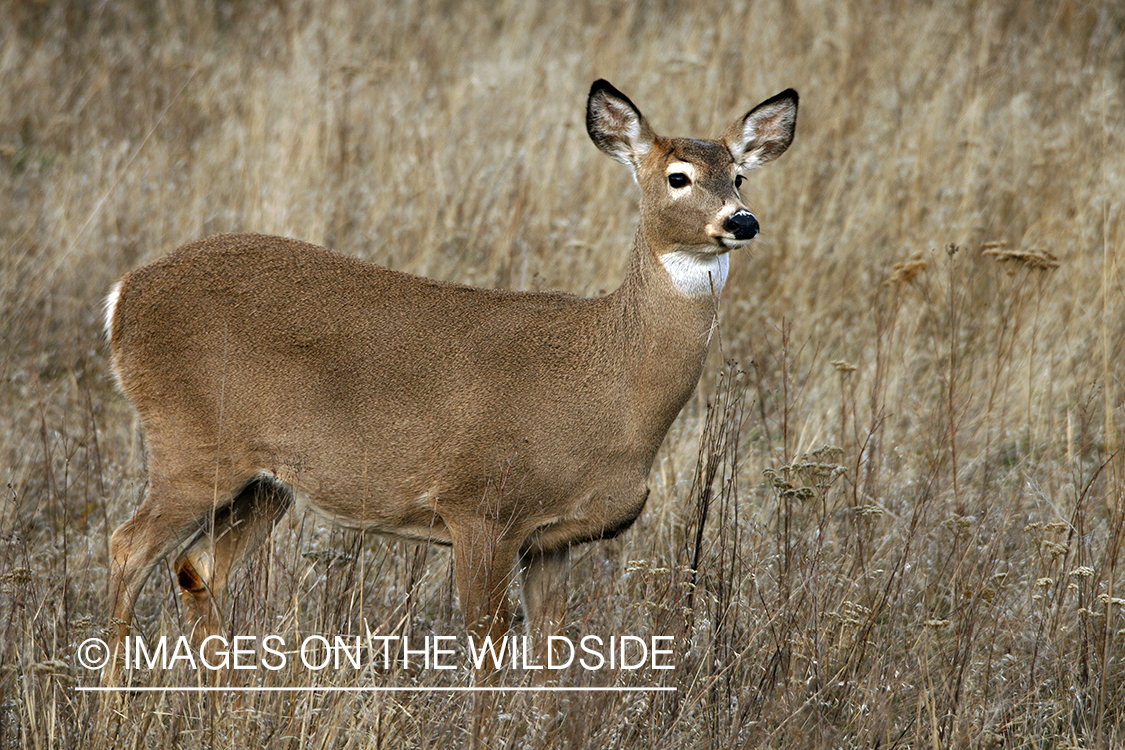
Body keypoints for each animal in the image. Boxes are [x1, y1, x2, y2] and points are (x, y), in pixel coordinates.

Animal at [103, 80, 792, 674]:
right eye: (678, 176)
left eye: (738, 174)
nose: (743, 220)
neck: (610, 381)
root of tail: (123, 296)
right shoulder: (480, 505)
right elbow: (488, 641)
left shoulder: (552, 539)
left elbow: (551, 652)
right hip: (191, 444)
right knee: (128, 546)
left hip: (264, 482)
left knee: (197, 568)